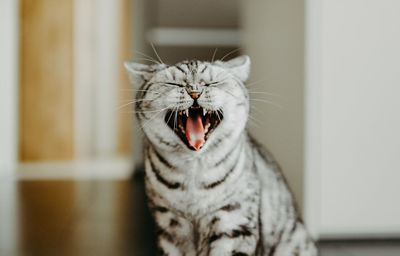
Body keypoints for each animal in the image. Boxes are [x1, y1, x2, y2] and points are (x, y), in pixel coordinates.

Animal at [125, 56, 318, 256]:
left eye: (212, 83)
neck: (193, 173)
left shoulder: (234, 221)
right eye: (173, 83)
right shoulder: (169, 225)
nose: (195, 92)